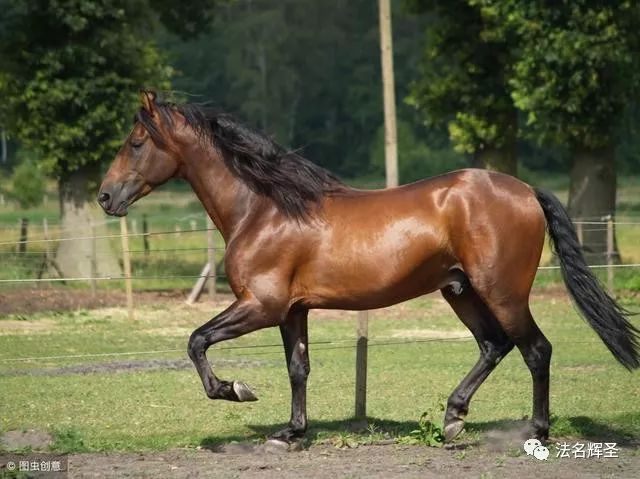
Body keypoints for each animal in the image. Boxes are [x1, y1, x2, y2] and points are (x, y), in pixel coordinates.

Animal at [97, 91, 636, 446]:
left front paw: (236, 390)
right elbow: (298, 368)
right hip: (460, 291)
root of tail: (526, 191)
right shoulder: (292, 311)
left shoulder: (260, 305)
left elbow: (196, 340)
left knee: (536, 350)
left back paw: (535, 430)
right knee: (494, 345)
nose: (105, 196)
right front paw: (291, 432)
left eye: (136, 141)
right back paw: (453, 417)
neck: (264, 209)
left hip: (501, 292)